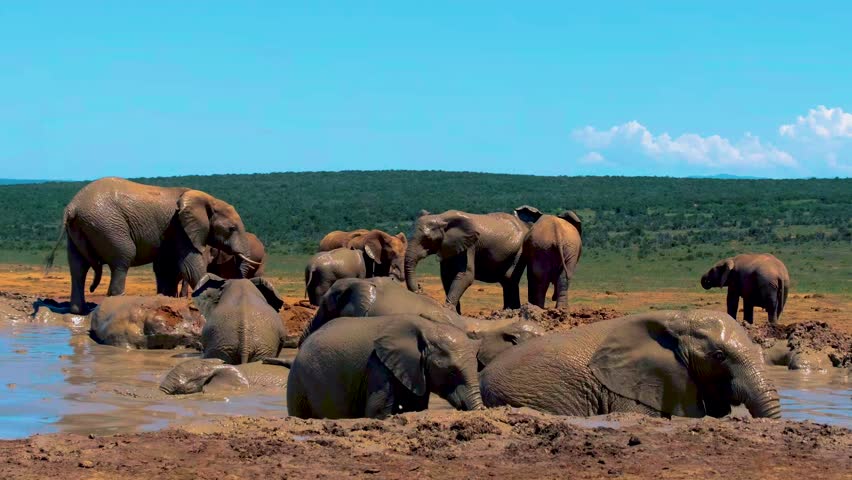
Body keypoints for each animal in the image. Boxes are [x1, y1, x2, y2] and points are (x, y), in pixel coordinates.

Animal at [45, 177, 260, 314]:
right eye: (232, 228)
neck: (208, 199)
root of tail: (72, 207)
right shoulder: (180, 228)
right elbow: (189, 265)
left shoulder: (171, 231)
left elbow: (165, 267)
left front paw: (166, 299)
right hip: (107, 224)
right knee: (122, 258)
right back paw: (116, 302)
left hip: (79, 229)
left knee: (78, 267)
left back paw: (78, 311)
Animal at [287, 314, 484, 419]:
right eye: (451, 372)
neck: (428, 326)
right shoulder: (378, 365)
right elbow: (377, 412)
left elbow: (416, 407)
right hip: (299, 382)